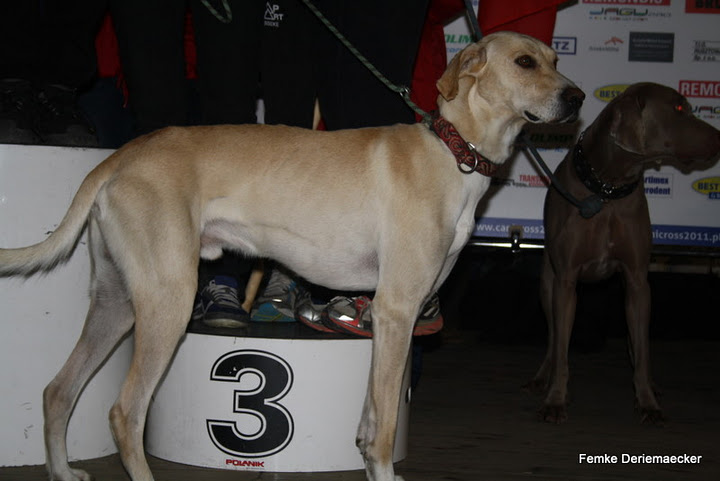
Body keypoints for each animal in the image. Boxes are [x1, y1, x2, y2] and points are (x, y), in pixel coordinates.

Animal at [528, 82, 720, 424]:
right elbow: (561, 347)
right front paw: (555, 400)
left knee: (636, 341)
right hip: (547, 282)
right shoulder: (565, 281)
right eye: (679, 109)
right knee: (552, 338)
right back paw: (543, 377)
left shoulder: (637, 280)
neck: (608, 189)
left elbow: (642, 348)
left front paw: (647, 403)